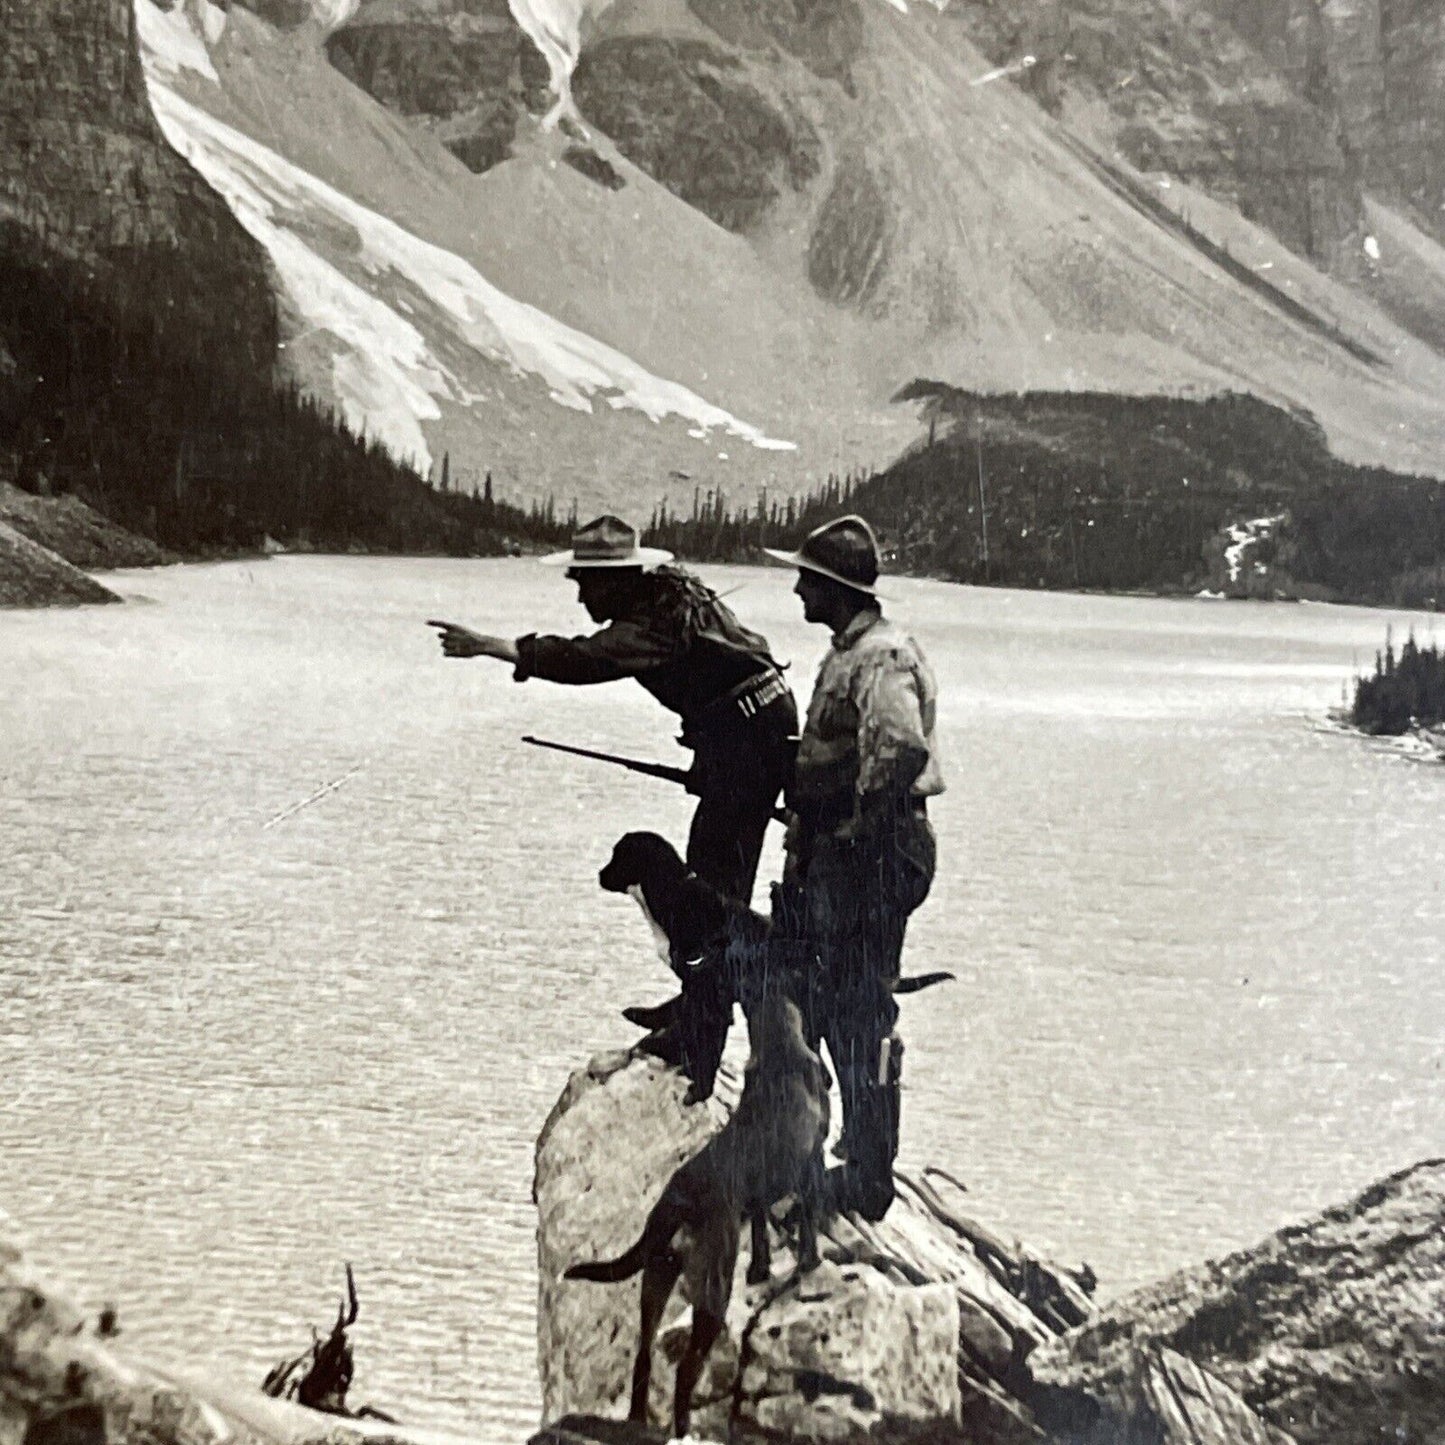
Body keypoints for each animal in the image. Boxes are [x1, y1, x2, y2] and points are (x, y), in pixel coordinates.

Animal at [566, 988, 832, 1439]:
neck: (778, 1037)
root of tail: (677, 1201)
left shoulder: (756, 1199)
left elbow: (760, 1232)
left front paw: (761, 1270)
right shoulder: (812, 1159)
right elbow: (810, 1220)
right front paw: (809, 1263)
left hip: (656, 1275)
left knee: (643, 1356)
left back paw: (638, 1422)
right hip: (711, 1287)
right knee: (685, 1372)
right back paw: (683, 1429)